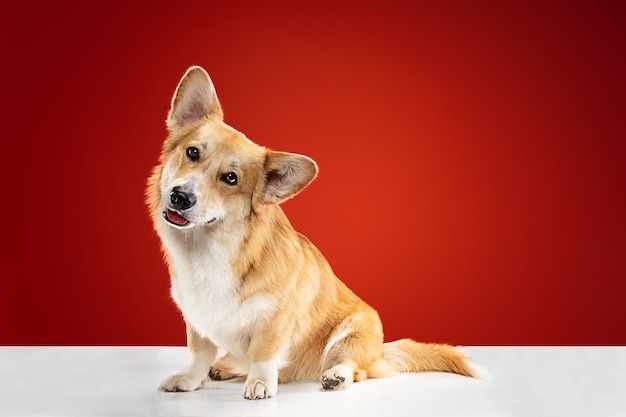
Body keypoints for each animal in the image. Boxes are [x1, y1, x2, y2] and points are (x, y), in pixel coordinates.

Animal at [147, 66, 472, 400]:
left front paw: (260, 383)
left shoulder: (276, 320)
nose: (180, 197)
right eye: (192, 152)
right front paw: (189, 378)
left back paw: (335, 375)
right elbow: (200, 352)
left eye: (231, 178)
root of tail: (382, 352)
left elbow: (263, 353)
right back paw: (225, 367)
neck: (211, 247)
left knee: (354, 367)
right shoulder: (196, 318)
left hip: (352, 333)